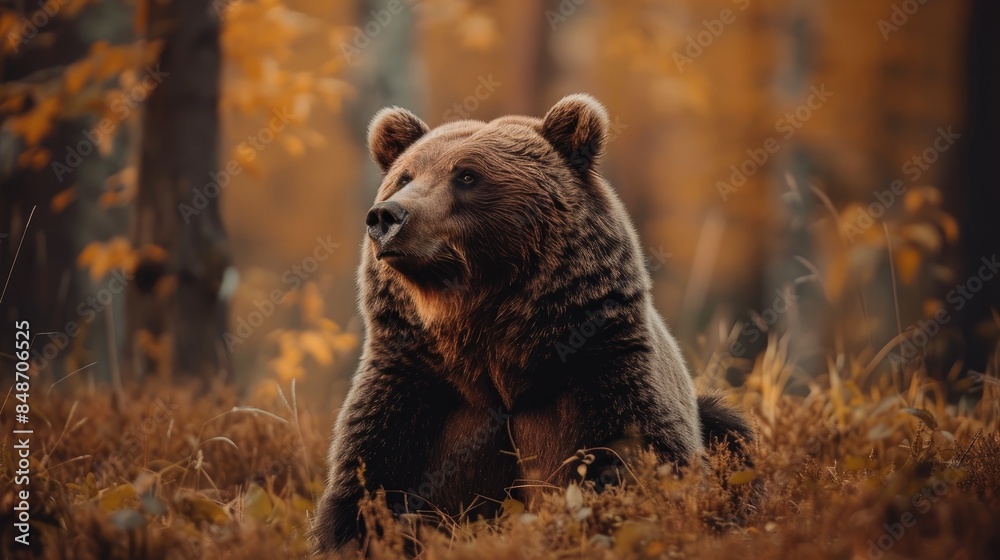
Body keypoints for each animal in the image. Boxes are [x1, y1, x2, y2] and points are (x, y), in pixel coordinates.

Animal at [313, 94, 754, 552]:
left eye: (466, 174)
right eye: (404, 176)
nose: (387, 216)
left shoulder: (603, 367)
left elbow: (640, 462)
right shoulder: (414, 386)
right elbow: (366, 488)